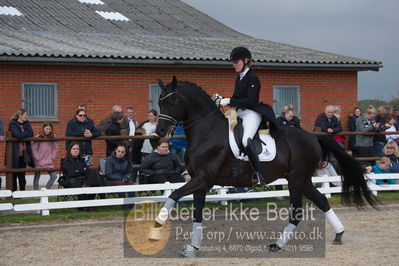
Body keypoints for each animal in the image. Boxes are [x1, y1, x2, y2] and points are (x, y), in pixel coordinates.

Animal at [151, 76, 378, 256]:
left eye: (173, 100)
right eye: (160, 102)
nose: (160, 131)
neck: (207, 132)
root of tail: (313, 136)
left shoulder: (203, 179)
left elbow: (173, 195)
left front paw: (155, 229)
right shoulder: (201, 182)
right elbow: (196, 214)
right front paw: (193, 248)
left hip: (297, 180)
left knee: (297, 211)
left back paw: (277, 245)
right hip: (302, 180)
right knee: (321, 200)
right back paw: (338, 234)